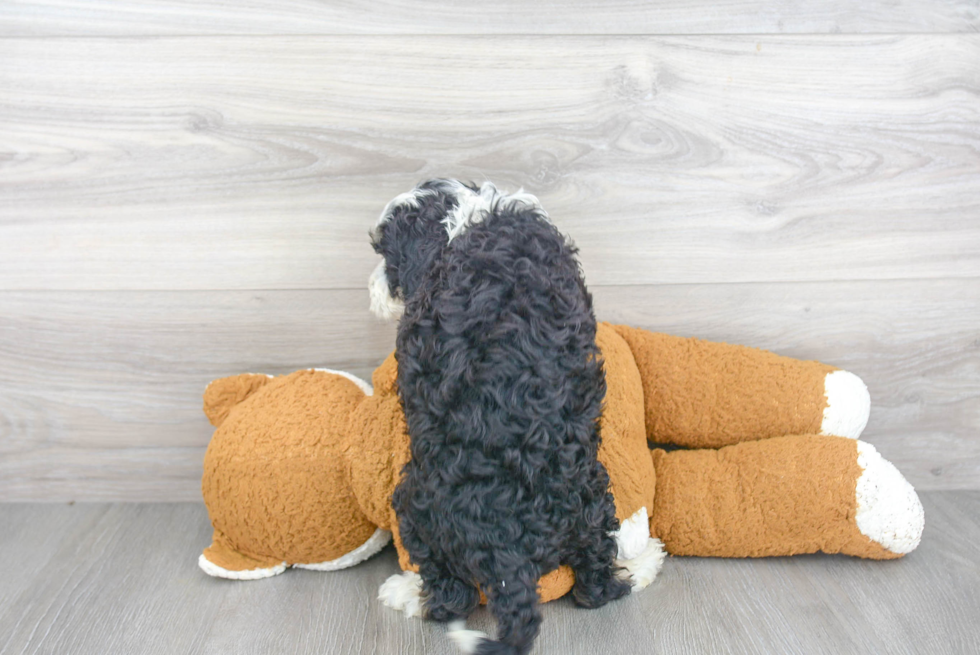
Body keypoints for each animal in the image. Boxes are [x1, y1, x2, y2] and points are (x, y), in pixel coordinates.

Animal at [372, 179, 632, 655]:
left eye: (387, 255)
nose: (374, 288)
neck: (470, 217)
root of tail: (506, 550)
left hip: (413, 505)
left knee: (449, 595)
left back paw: (406, 593)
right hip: (593, 493)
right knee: (595, 575)